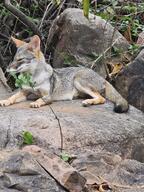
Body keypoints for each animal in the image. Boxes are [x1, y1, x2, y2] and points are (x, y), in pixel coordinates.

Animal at [0, 35, 129, 112]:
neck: (33, 80)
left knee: (102, 98)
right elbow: (13, 97)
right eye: (14, 59)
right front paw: (6, 101)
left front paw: (36, 103)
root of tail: (102, 78)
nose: (6, 70)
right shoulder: (24, 92)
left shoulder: (48, 96)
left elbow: (41, 99)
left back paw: (89, 102)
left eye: (20, 60)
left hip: (78, 80)